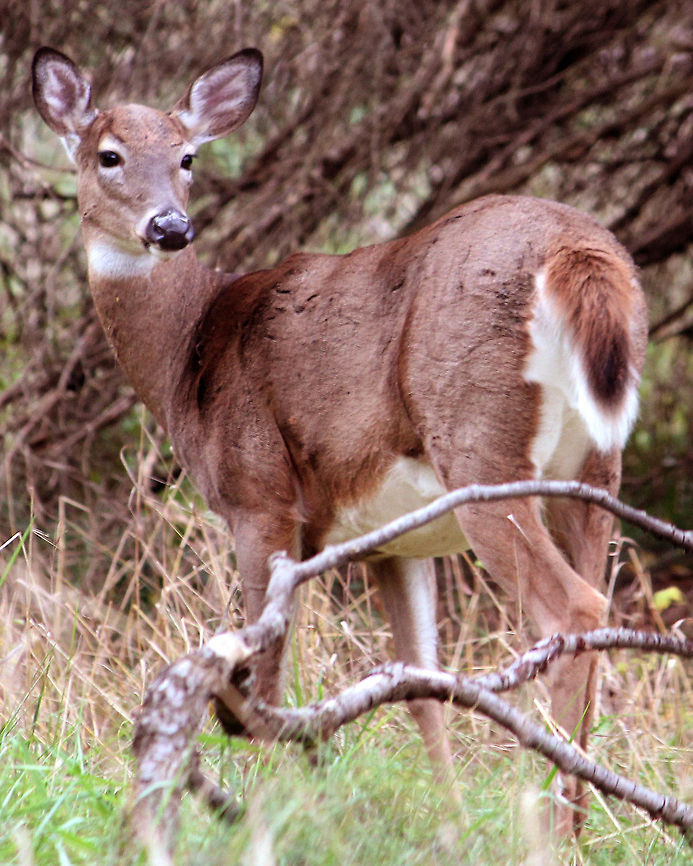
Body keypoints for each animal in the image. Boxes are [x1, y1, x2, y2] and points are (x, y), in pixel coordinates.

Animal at [32, 46, 647, 834]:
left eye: (187, 157)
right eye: (108, 155)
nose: (170, 227)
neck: (188, 348)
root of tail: (582, 254)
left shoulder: (258, 498)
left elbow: (260, 685)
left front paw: (265, 800)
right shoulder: (393, 541)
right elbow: (421, 683)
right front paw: (448, 822)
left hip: (481, 448)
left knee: (574, 610)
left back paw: (547, 826)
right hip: (594, 470)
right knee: (596, 619)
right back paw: (579, 816)